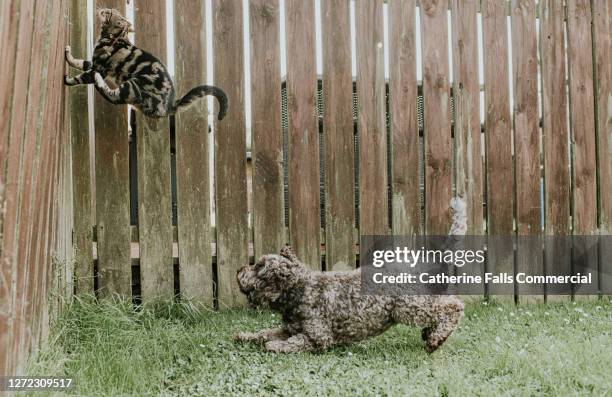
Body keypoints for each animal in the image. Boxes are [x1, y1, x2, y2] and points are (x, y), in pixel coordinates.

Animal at [64, 8, 227, 119]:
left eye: (109, 13)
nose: (102, 9)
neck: (112, 37)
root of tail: (170, 106)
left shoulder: (99, 67)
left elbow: (81, 77)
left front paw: (69, 80)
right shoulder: (93, 63)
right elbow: (80, 62)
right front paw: (68, 55)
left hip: (133, 84)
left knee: (112, 95)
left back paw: (97, 81)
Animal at [234, 198, 464, 352]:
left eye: (259, 266)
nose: (239, 270)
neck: (300, 290)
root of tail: (433, 259)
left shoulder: (319, 337)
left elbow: (289, 342)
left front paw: (273, 345)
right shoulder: (289, 328)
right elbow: (265, 332)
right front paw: (245, 336)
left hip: (409, 305)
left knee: (453, 307)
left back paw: (435, 339)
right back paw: (431, 334)